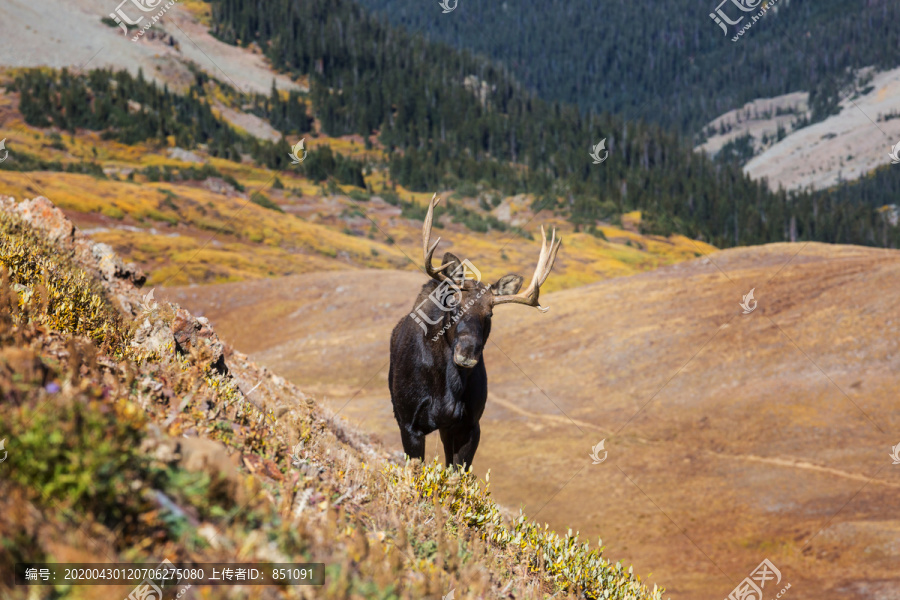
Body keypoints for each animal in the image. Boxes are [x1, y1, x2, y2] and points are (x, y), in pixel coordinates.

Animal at [388, 195, 564, 466]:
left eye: (489, 314)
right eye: (454, 304)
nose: (467, 353)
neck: (447, 386)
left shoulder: (469, 425)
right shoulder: (409, 424)